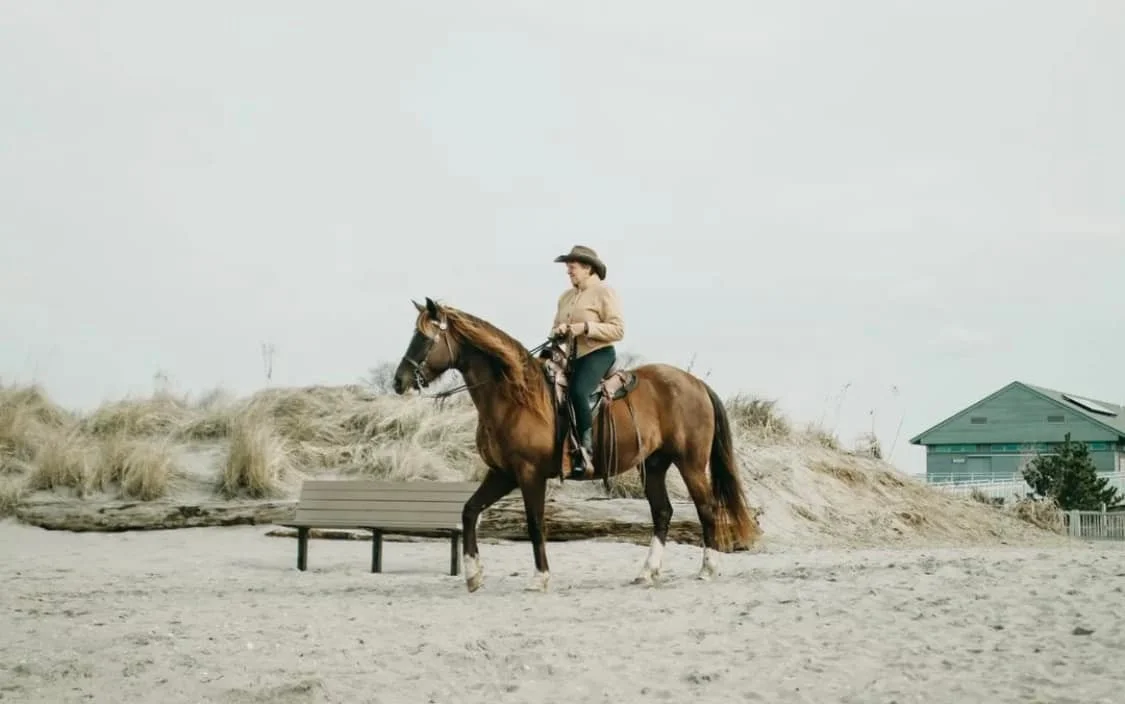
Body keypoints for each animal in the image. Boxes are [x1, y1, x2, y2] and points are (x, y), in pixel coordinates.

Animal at [392, 297, 759, 592]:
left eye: (424, 338)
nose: (399, 381)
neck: (515, 396)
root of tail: (696, 383)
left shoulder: (529, 474)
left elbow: (535, 522)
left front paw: (540, 578)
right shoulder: (502, 473)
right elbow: (469, 511)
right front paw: (472, 575)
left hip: (691, 463)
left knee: (707, 508)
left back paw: (708, 569)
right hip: (655, 464)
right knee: (663, 512)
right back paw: (647, 572)